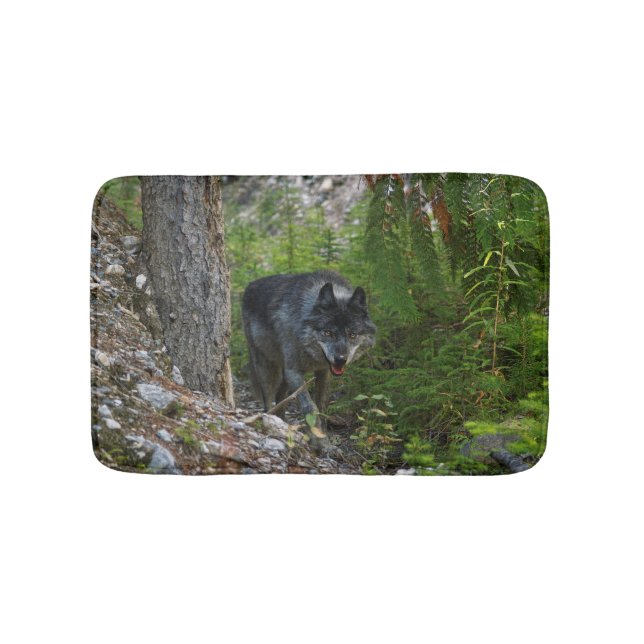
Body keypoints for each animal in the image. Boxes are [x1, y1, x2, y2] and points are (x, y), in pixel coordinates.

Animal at [242, 270, 376, 445]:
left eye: (352, 335)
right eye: (328, 333)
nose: (340, 359)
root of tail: (250, 285)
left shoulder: (323, 372)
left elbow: (322, 406)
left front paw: (323, 437)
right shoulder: (293, 372)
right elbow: (310, 407)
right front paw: (318, 441)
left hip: (284, 374)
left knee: (280, 397)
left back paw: (282, 423)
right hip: (267, 367)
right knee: (268, 400)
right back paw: (269, 420)